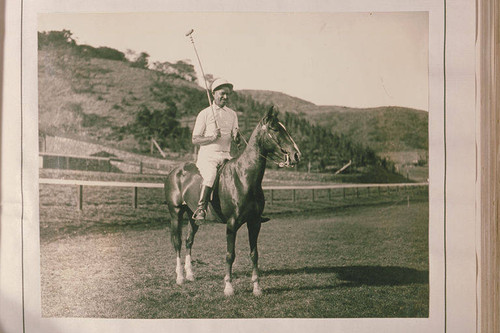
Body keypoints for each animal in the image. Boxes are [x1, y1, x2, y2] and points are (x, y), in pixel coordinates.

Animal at [164, 105, 300, 294]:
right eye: (275, 129)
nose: (296, 155)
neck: (244, 178)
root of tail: (175, 171)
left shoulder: (254, 222)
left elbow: (254, 254)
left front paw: (257, 287)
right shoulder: (232, 224)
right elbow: (230, 254)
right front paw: (228, 287)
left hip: (192, 216)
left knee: (189, 241)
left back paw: (190, 274)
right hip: (175, 212)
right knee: (177, 242)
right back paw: (180, 277)